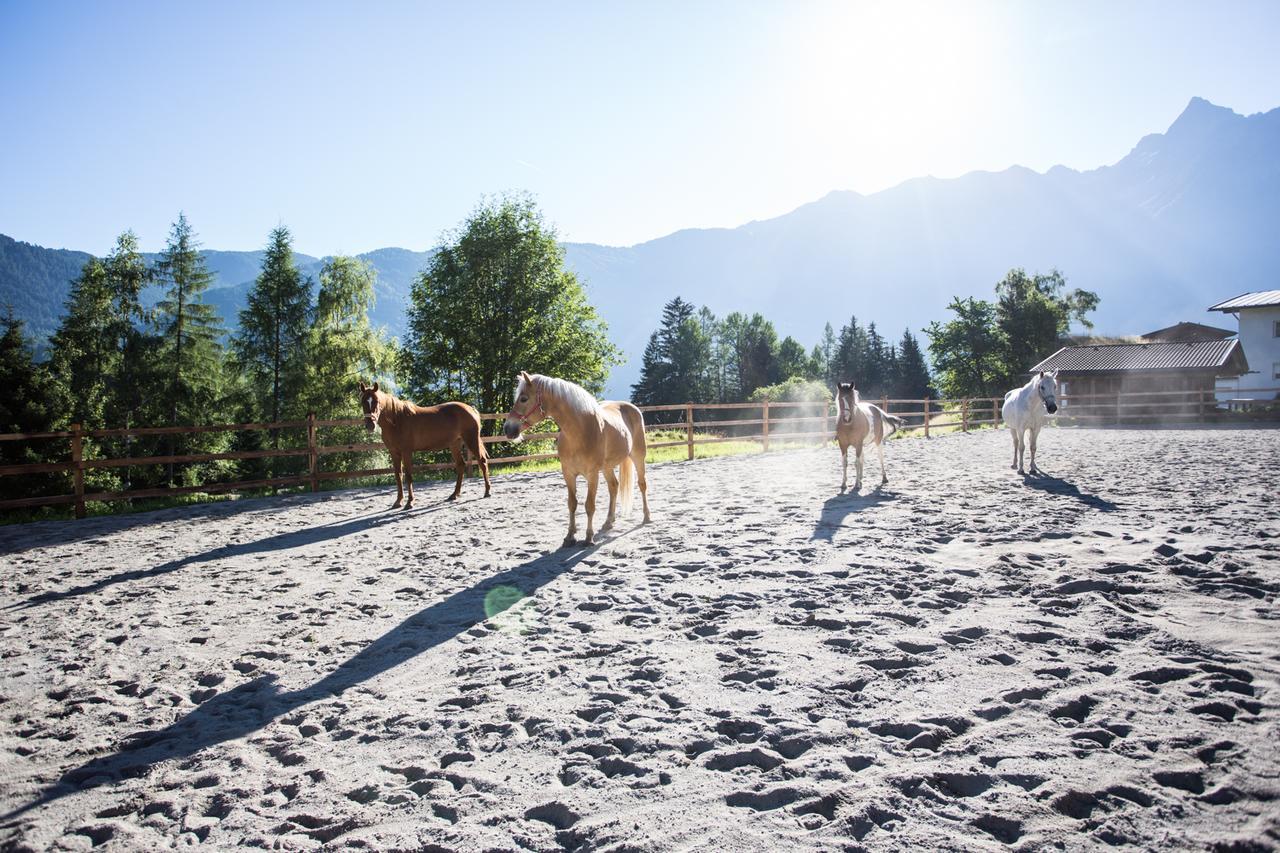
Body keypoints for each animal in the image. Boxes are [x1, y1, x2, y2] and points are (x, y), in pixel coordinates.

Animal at [358, 381, 491, 507]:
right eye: (363, 401)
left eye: (376, 401)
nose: (370, 425)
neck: (396, 420)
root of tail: (471, 409)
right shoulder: (394, 452)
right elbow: (398, 475)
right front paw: (398, 501)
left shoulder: (406, 452)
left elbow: (408, 476)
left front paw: (410, 502)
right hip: (455, 444)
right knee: (461, 465)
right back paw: (454, 494)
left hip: (471, 440)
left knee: (482, 461)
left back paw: (487, 492)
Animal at [499, 371, 650, 545]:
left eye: (523, 398)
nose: (507, 428)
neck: (580, 431)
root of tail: (632, 408)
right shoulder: (568, 473)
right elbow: (572, 504)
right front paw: (570, 535)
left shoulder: (592, 474)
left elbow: (589, 505)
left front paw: (589, 537)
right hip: (607, 467)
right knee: (614, 486)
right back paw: (608, 522)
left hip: (638, 456)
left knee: (642, 484)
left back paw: (646, 517)